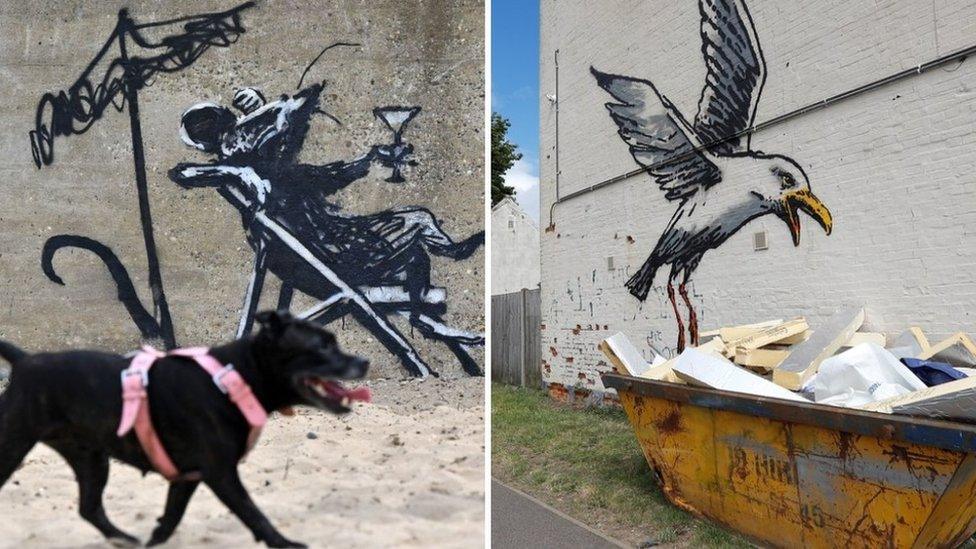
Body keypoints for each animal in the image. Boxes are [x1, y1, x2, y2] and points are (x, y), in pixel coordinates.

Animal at [0, 310, 370, 544]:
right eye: (322, 346)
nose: (364, 361)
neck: (235, 376)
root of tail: (24, 360)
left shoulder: (187, 478)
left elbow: (169, 522)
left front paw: (154, 540)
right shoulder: (222, 475)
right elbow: (255, 514)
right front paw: (286, 543)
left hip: (91, 459)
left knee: (90, 508)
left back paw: (125, 539)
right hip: (13, 441)